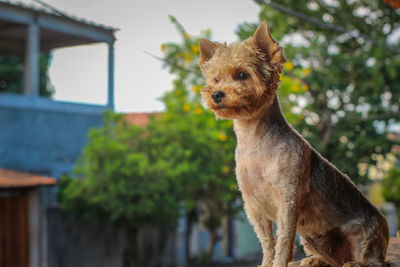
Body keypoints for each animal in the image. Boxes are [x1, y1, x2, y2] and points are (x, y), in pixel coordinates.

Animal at [198, 21, 390, 267]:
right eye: (215, 79)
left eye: (242, 74)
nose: (216, 94)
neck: (254, 140)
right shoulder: (253, 206)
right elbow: (267, 242)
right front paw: (266, 263)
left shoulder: (288, 200)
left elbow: (283, 242)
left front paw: (278, 262)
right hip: (312, 238)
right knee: (331, 258)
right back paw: (315, 260)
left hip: (367, 233)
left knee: (371, 260)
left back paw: (353, 262)